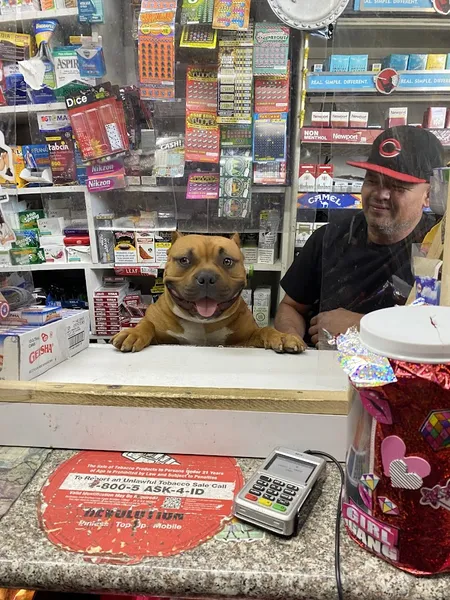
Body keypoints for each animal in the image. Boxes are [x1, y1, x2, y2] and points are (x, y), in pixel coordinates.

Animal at [112, 232, 306, 354]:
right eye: (184, 260)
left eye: (227, 261)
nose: (206, 277)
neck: (202, 323)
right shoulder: (162, 337)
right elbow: (147, 324)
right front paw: (133, 333)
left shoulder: (247, 338)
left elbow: (265, 329)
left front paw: (281, 336)